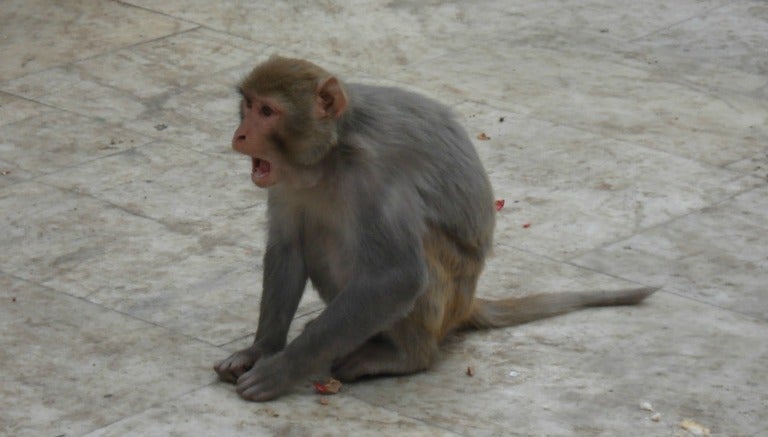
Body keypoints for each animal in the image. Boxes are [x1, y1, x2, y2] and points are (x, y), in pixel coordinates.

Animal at [213, 56, 656, 400]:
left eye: (267, 112)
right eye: (248, 105)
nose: (240, 134)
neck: (329, 155)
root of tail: (466, 303)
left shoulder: (376, 176)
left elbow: (398, 276)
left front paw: (282, 370)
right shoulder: (284, 180)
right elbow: (287, 248)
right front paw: (261, 350)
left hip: (446, 298)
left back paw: (406, 356)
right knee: (317, 234)